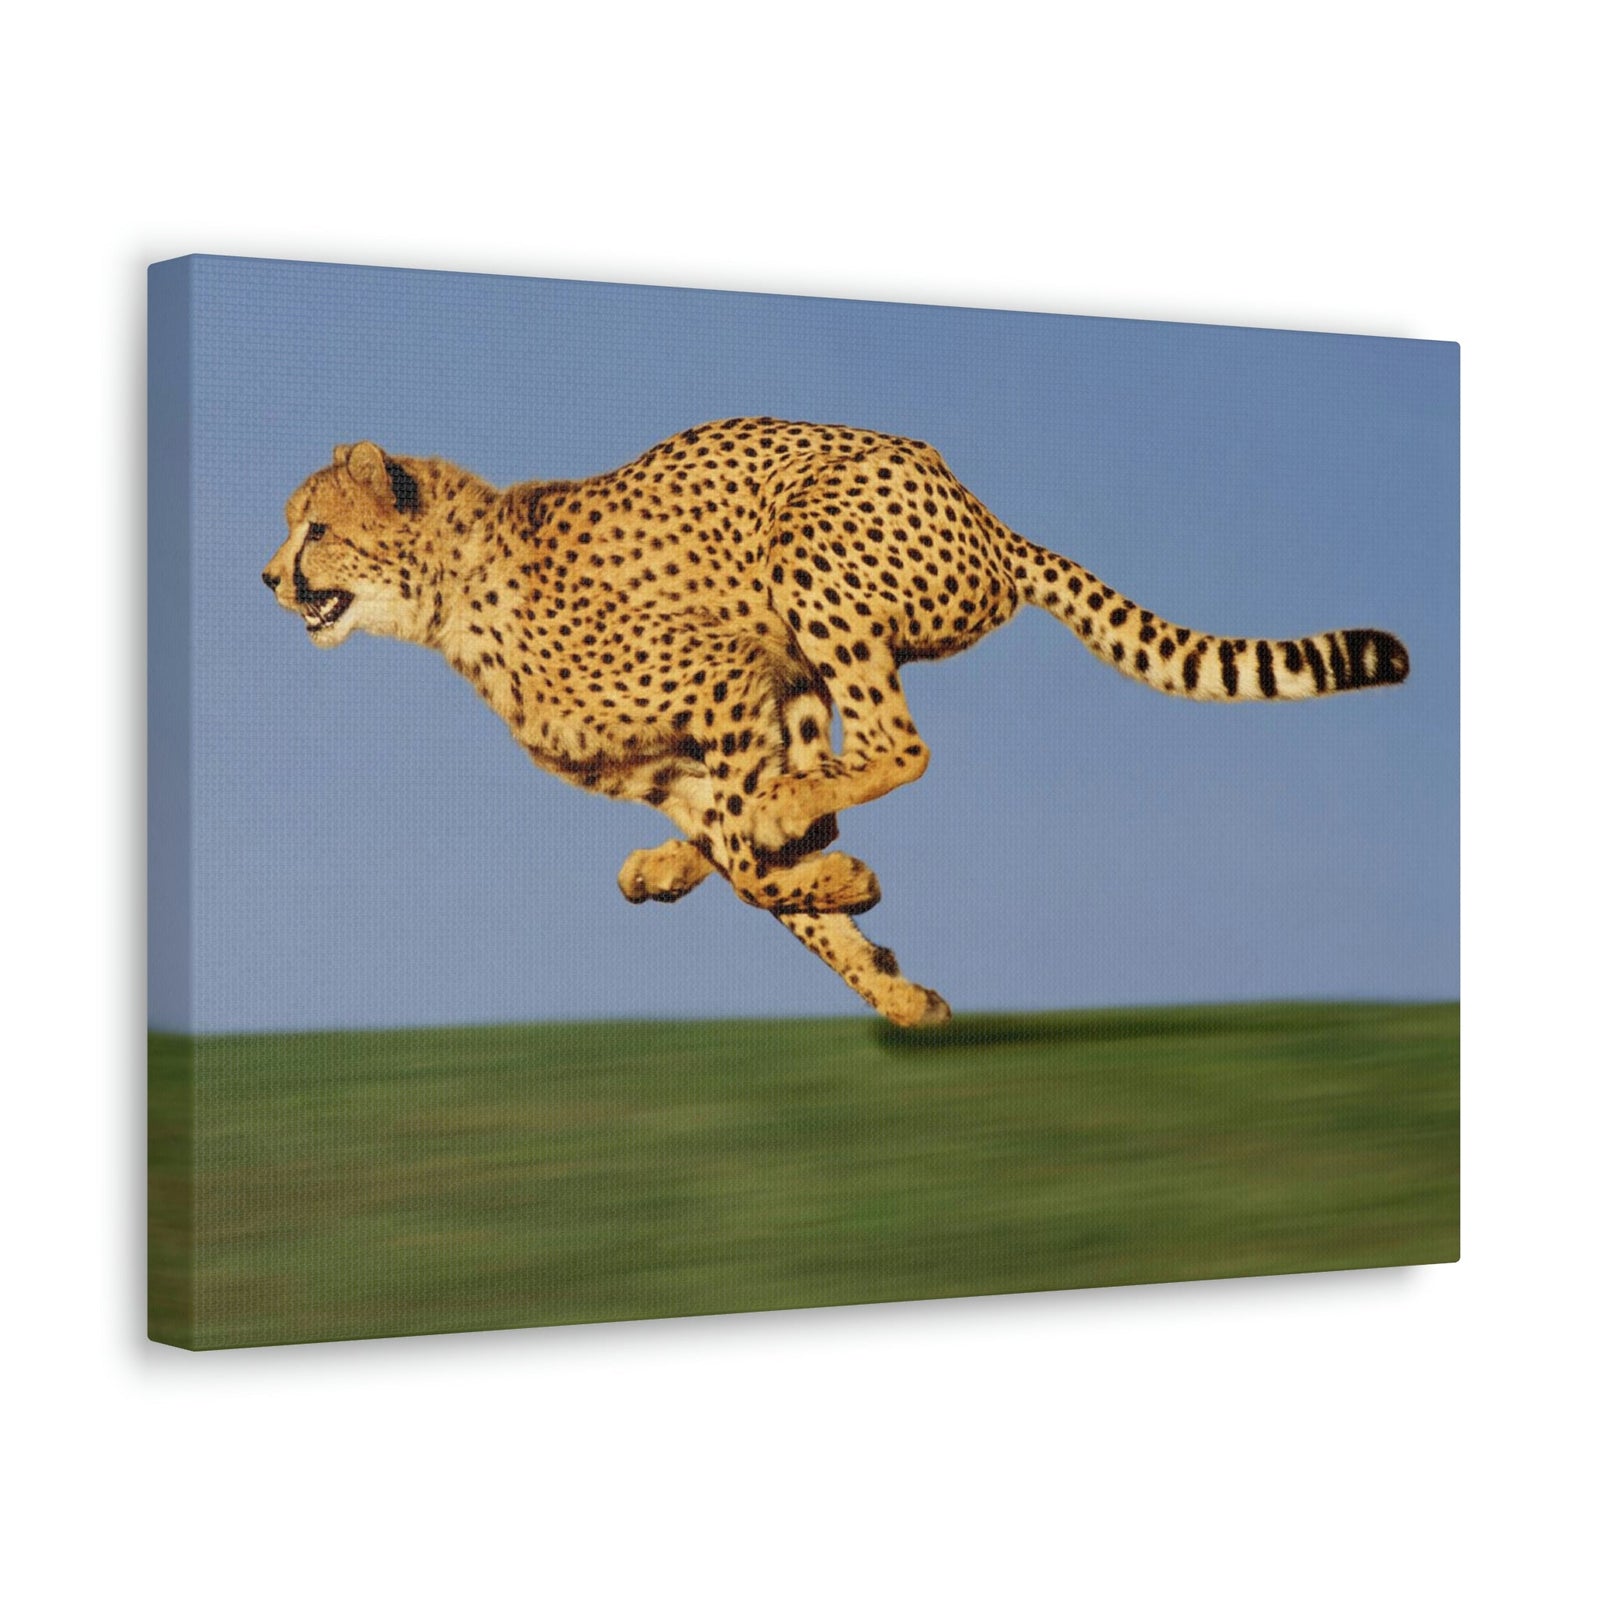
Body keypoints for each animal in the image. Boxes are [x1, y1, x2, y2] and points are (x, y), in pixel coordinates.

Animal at [263, 418, 1409, 1027]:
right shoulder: (684, 757)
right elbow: (757, 872)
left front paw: (850, 897)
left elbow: (760, 864)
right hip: (802, 669)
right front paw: (895, 991)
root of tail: (986, 515)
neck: (452, 596)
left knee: (895, 746)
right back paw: (676, 865)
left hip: (805, 551)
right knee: (817, 782)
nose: (269, 578)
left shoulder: (721, 678)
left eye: (315, 528)